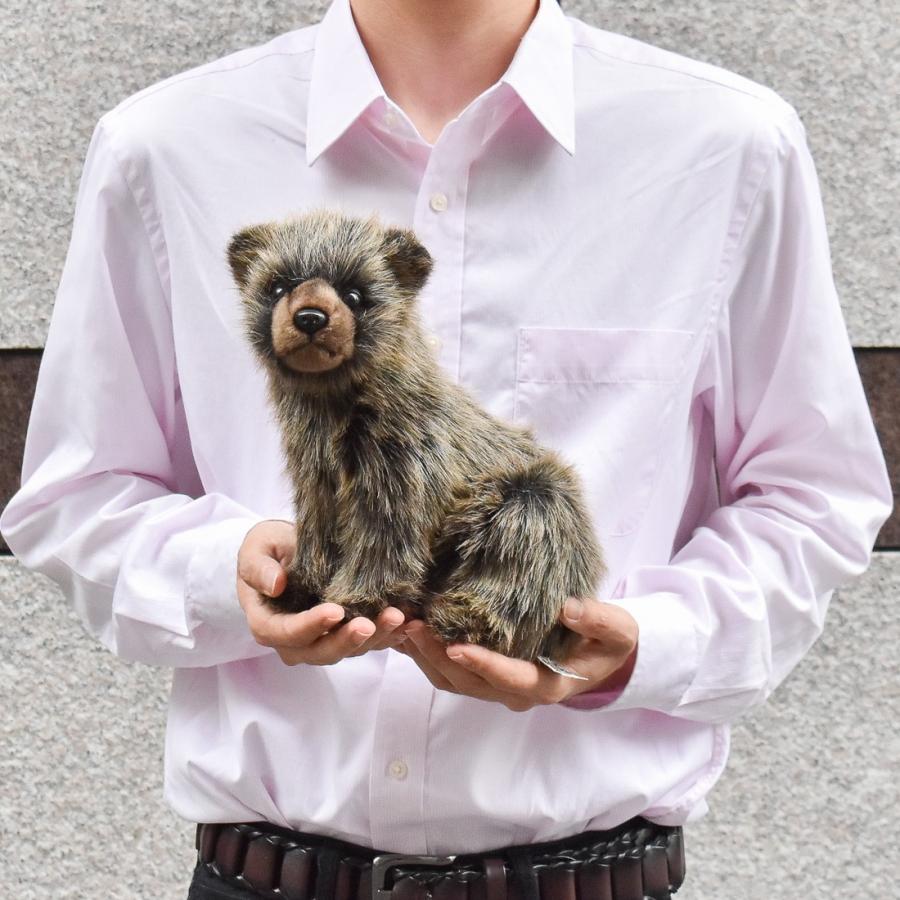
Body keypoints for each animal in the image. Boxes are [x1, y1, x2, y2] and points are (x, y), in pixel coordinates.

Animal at [226, 209, 605, 666]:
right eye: (279, 286)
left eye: (354, 294)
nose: (310, 317)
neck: (336, 414)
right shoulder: (317, 484)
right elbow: (318, 534)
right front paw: (302, 586)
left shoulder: (401, 478)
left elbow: (383, 545)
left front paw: (359, 599)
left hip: (532, 504)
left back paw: (465, 616)